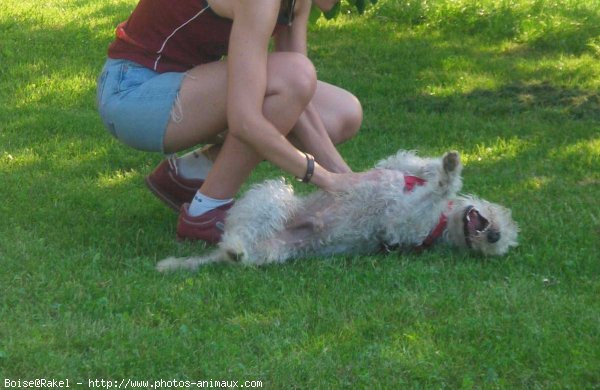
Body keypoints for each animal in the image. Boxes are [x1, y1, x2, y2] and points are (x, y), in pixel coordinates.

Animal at [157, 149, 516, 272]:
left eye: (503, 244)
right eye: (507, 219)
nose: (495, 235)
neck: (442, 222)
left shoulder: (401, 222)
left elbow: (437, 188)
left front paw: (448, 173)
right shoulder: (397, 167)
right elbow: (413, 164)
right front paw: (447, 163)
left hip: (272, 245)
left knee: (237, 248)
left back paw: (234, 252)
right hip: (275, 197)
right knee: (237, 231)